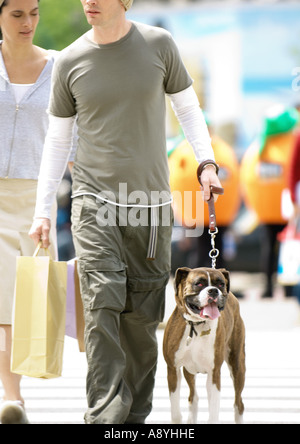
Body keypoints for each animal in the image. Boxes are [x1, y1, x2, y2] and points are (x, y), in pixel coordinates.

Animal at [163, 268, 245, 424]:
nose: (213, 291)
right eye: (199, 283)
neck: (196, 324)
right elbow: (175, 412)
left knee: (239, 404)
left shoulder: (214, 373)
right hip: (189, 371)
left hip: (237, 366)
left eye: (220, 284)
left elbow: (213, 414)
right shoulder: (173, 369)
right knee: (193, 397)